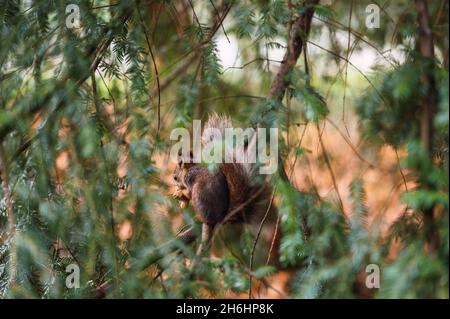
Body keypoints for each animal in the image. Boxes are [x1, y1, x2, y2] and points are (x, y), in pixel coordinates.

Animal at [173, 114, 270, 258]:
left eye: (175, 177)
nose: (175, 183)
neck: (190, 168)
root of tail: (221, 215)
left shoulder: (190, 178)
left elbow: (189, 191)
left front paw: (182, 193)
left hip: (199, 195)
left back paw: (199, 217)